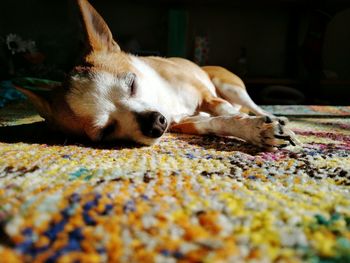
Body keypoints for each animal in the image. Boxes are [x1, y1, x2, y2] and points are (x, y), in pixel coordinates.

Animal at [14, 0, 298, 152]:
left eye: (132, 84)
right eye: (105, 131)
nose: (155, 123)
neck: (169, 103)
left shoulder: (207, 97)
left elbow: (223, 110)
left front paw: (260, 125)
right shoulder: (184, 122)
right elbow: (213, 122)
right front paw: (252, 129)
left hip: (228, 86)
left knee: (251, 104)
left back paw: (271, 115)